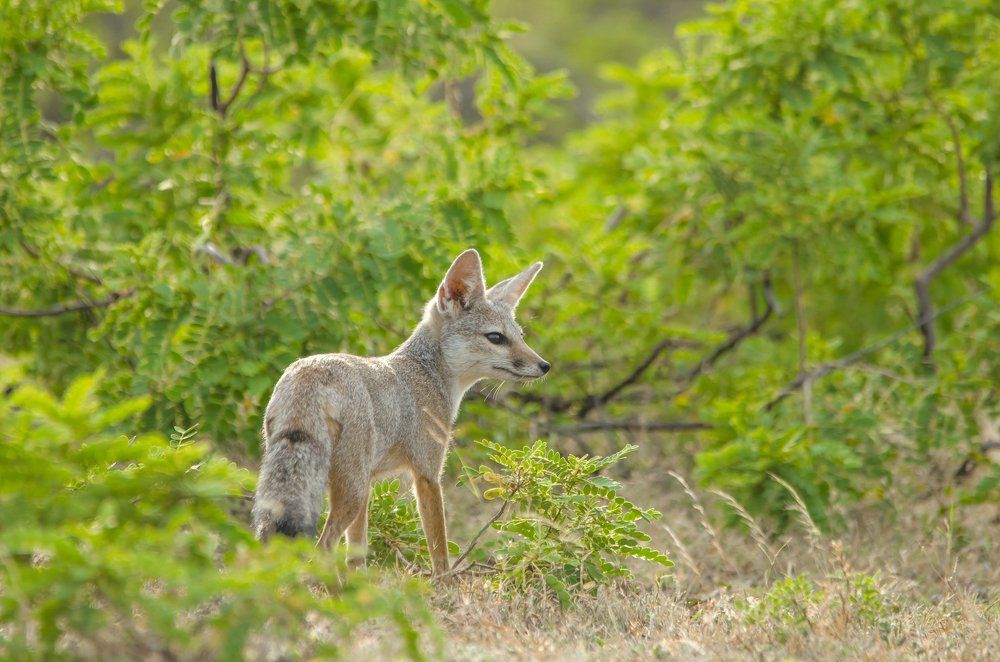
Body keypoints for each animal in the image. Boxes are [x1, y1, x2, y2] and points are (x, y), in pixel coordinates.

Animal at [251, 249, 549, 575]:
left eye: (520, 336)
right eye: (496, 337)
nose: (545, 365)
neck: (423, 373)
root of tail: (309, 372)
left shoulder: (371, 482)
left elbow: (356, 555)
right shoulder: (428, 473)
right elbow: (440, 553)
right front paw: (444, 585)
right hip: (349, 491)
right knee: (322, 549)